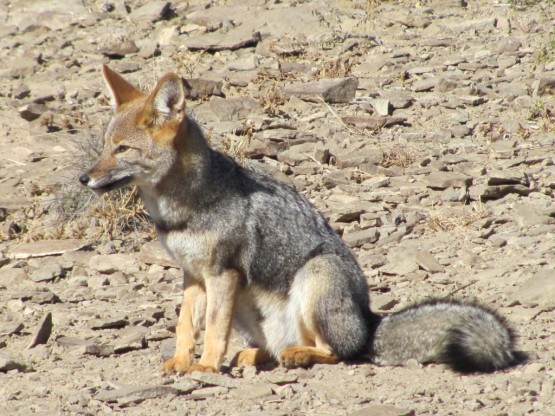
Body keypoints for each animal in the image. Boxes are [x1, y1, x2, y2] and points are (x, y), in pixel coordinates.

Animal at [79, 66, 524, 376]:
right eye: (104, 146)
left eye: (122, 150)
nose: (84, 178)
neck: (183, 211)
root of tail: (368, 321)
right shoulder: (193, 276)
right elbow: (186, 326)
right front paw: (181, 360)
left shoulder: (222, 273)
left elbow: (214, 329)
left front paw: (205, 366)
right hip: (253, 307)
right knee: (277, 347)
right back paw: (255, 354)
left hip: (315, 276)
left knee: (338, 352)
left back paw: (298, 355)